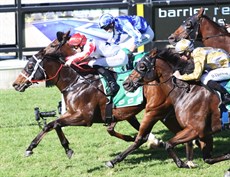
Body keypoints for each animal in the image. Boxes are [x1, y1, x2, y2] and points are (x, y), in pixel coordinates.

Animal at [13, 30, 196, 166]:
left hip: (154, 109)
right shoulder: (74, 113)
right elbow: (51, 125)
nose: (16, 84)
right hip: (165, 113)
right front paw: (36, 147)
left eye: (30, 66)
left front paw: (62, 149)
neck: (76, 81)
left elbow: (54, 124)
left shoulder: (84, 117)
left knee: (147, 135)